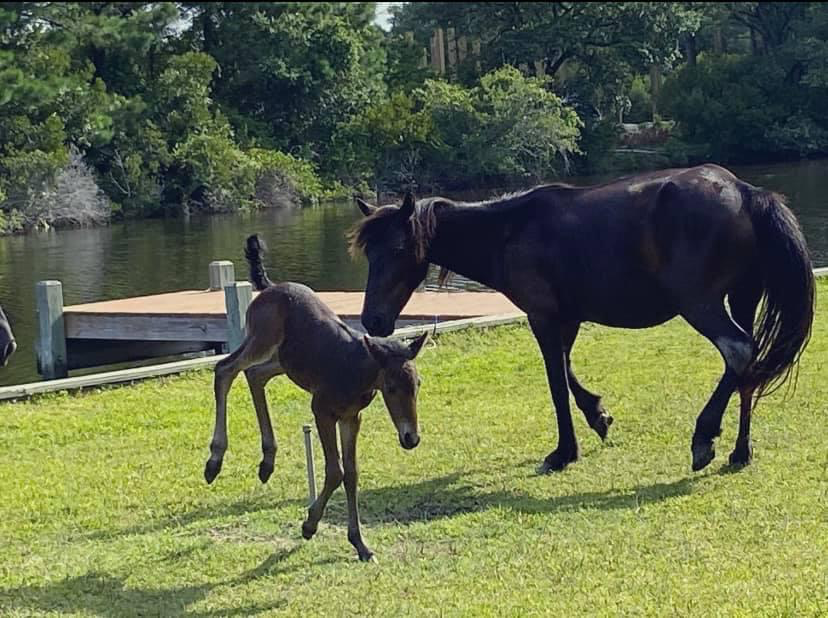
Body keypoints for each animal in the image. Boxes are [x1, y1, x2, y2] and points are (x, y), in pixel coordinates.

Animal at [205, 235, 430, 560]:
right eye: (390, 387)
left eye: (418, 384)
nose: (411, 438)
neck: (357, 371)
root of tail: (270, 287)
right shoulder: (321, 410)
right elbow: (335, 470)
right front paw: (309, 525)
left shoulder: (352, 417)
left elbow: (352, 473)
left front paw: (359, 543)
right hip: (262, 338)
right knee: (226, 369)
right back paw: (214, 460)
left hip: (282, 360)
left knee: (255, 375)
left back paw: (267, 461)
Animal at [350, 164, 816, 472]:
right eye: (369, 253)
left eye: (397, 250)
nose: (373, 320)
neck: (509, 231)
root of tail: (745, 192)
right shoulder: (567, 319)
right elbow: (570, 372)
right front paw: (598, 416)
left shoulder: (542, 317)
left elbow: (556, 382)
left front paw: (563, 451)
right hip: (742, 299)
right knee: (748, 369)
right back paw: (740, 450)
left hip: (701, 304)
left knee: (737, 352)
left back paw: (704, 437)